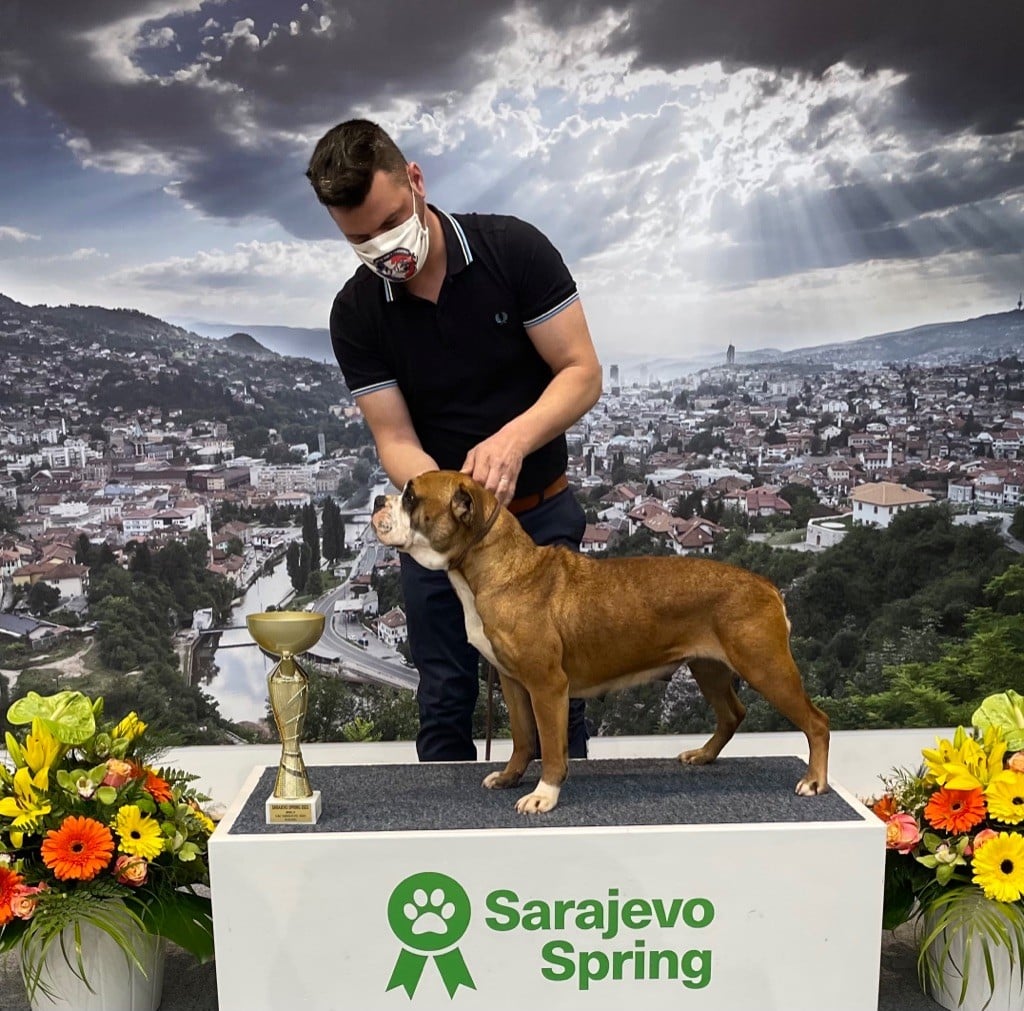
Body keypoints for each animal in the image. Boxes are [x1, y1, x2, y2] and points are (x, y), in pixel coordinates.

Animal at [372, 470, 829, 814]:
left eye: (411, 496)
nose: (378, 499)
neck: (494, 566)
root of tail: (766, 584)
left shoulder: (547, 687)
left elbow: (550, 748)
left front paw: (543, 795)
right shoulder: (514, 683)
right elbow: (522, 740)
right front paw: (509, 777)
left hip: (766, 668)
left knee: (816, 722)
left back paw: (814, 781)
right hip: (709, 669)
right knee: (733, 714)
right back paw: (702, 756)